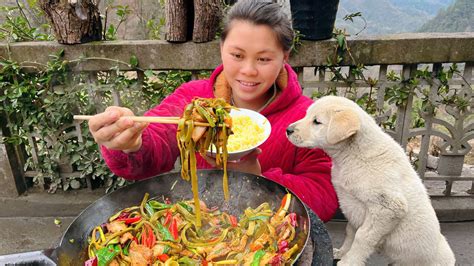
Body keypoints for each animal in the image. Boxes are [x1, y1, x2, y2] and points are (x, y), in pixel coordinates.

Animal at [286, 96, 456, 266]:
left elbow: (362, 237)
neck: (354, 155)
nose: (288, 130)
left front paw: (349, 261)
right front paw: (342, 253)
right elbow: (350, 232)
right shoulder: (353, 207)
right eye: (306, 115)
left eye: (317, 122)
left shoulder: (387, 208)